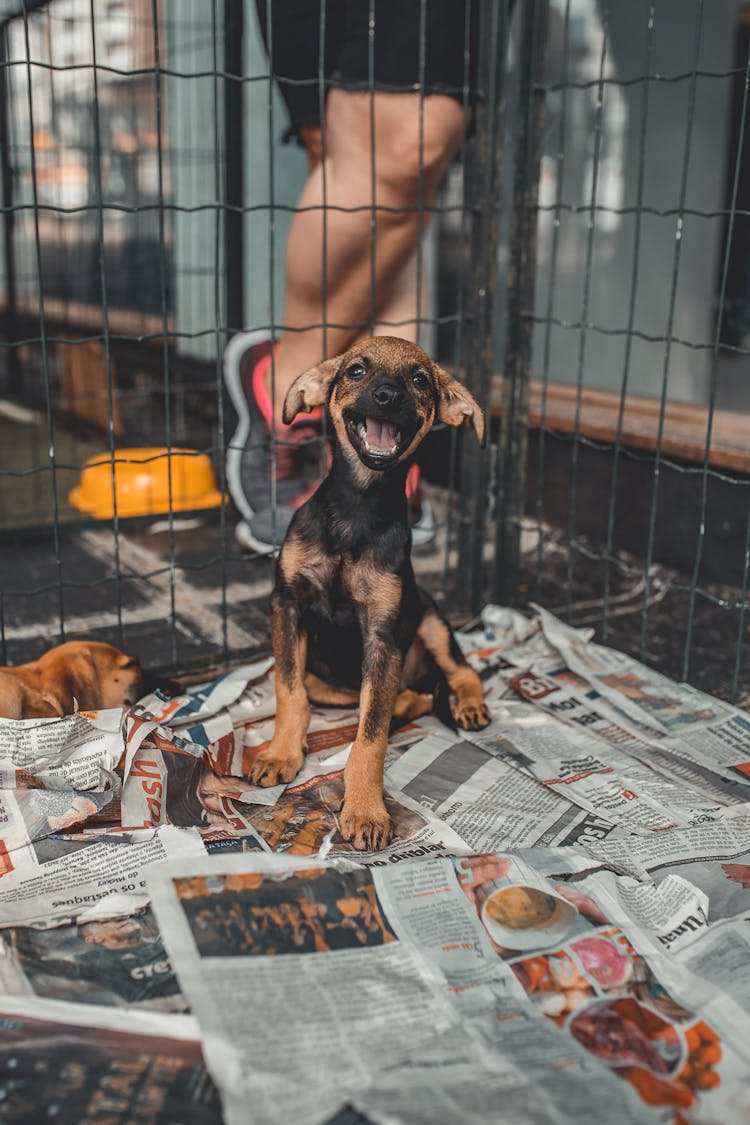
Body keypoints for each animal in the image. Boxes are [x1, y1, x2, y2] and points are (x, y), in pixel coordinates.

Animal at [249, 337, 490, 846]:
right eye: (356, 370)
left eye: (420, 379)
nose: (388, 396)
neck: (357, 508)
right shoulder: (287, 603)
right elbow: (288, 692)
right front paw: (281, 754)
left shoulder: (383, 634)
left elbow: (371, 734)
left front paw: (364, 810)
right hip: (331, 679)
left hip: (432, 620)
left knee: (461, 674)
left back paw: (468, 706)